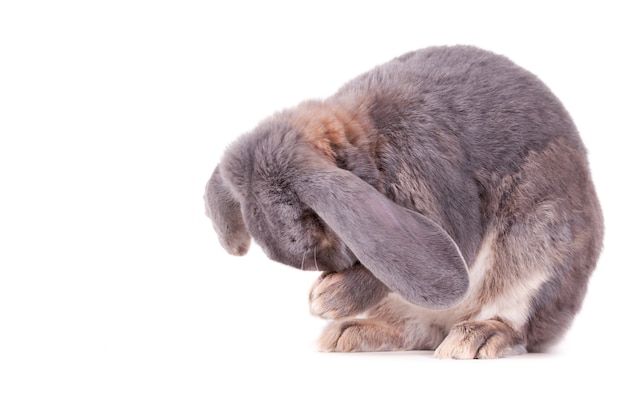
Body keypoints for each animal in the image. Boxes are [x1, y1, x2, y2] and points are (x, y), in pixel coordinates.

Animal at [204, 44, 600, 358]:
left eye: (312, 226)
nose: (331, 272)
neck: (367, 146)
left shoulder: (435, 187)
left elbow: (400, 268)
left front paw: (327, 299)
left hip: (539, 250)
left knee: (516, 324)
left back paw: (477, 338)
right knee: (417, 329)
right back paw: (350, 332)